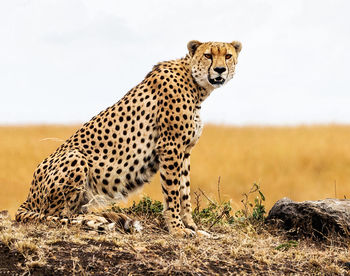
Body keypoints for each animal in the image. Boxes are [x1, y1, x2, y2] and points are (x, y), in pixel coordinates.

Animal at [15, 41, 241, 237]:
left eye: (228, 56)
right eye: (208, 55)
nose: (220, 70)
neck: (195, 84)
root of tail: (28, 196)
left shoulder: (184, 151)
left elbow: (184, 191)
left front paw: (192, 226)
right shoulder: (170, 147)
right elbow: (172, 193)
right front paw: (177, 229)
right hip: (75, 157)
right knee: (55, 215)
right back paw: (97, 221)